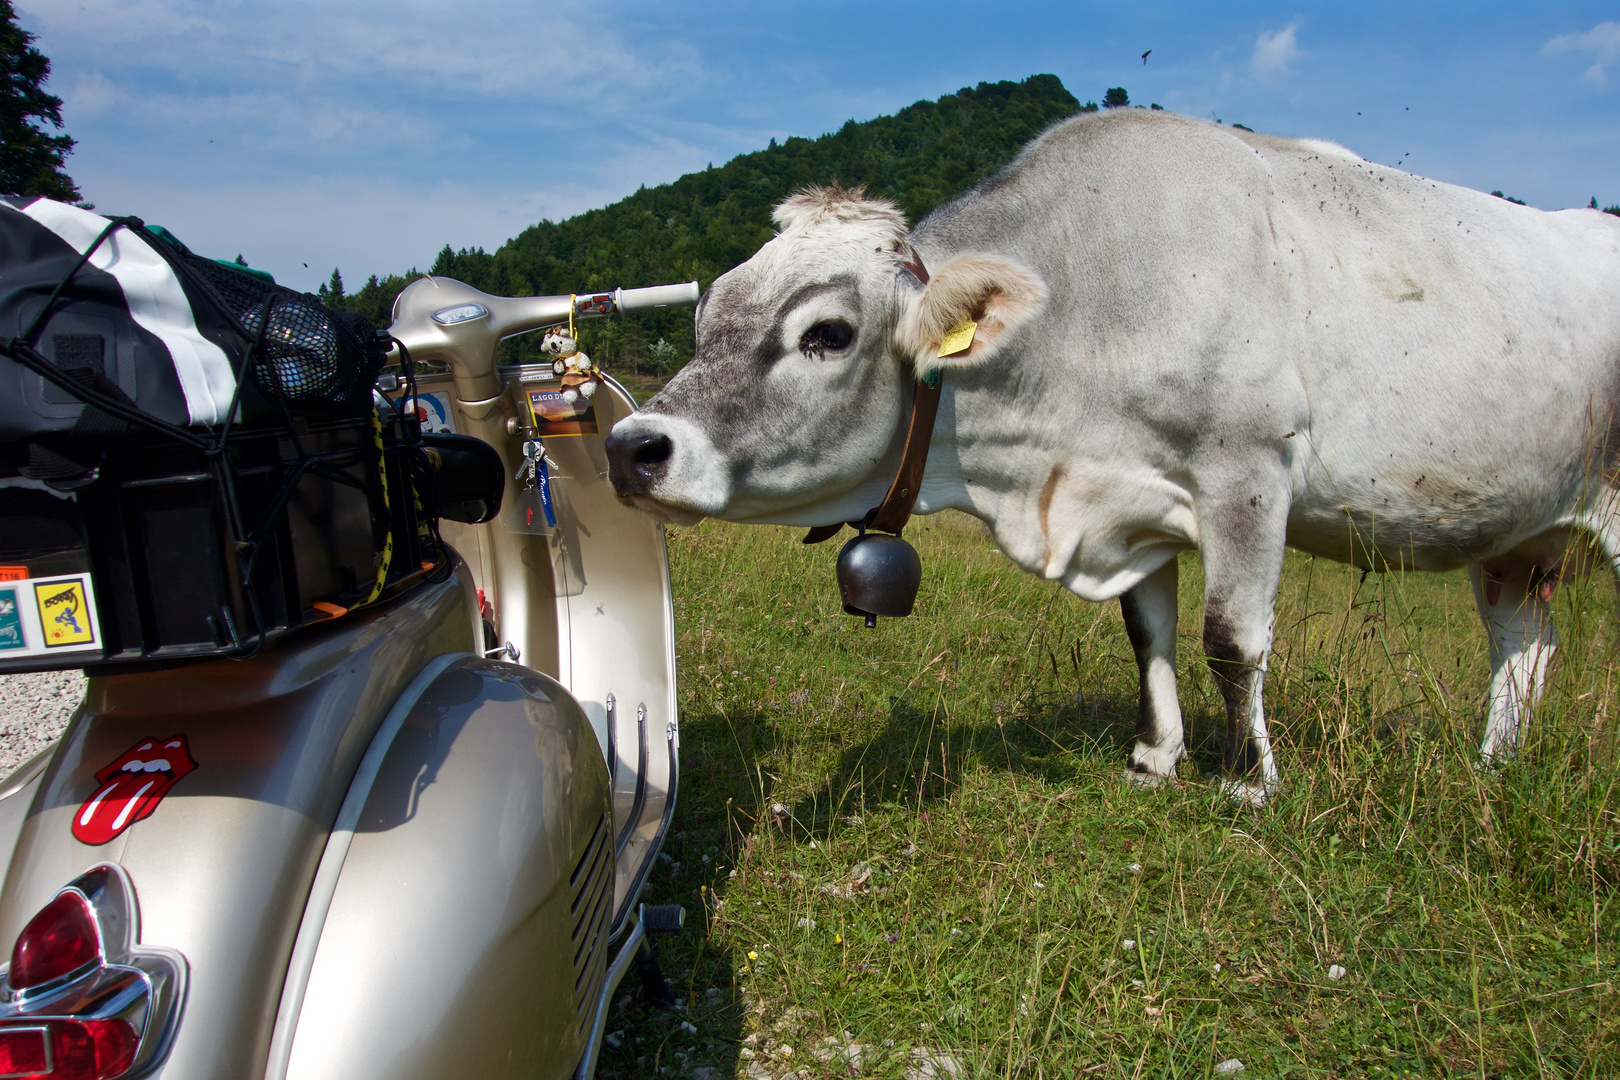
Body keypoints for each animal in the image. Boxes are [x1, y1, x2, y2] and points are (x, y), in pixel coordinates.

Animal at [605, 107, 1620, 803]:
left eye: (826, 333)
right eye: (705, 312)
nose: (632, 447)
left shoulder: (1249, 470)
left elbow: (1230, 639)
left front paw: (1249, 780)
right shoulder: (1132, 500)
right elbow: (1148, 631)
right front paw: (1154, 757)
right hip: (1521, 540)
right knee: (1525, 645)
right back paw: (1494, 767)